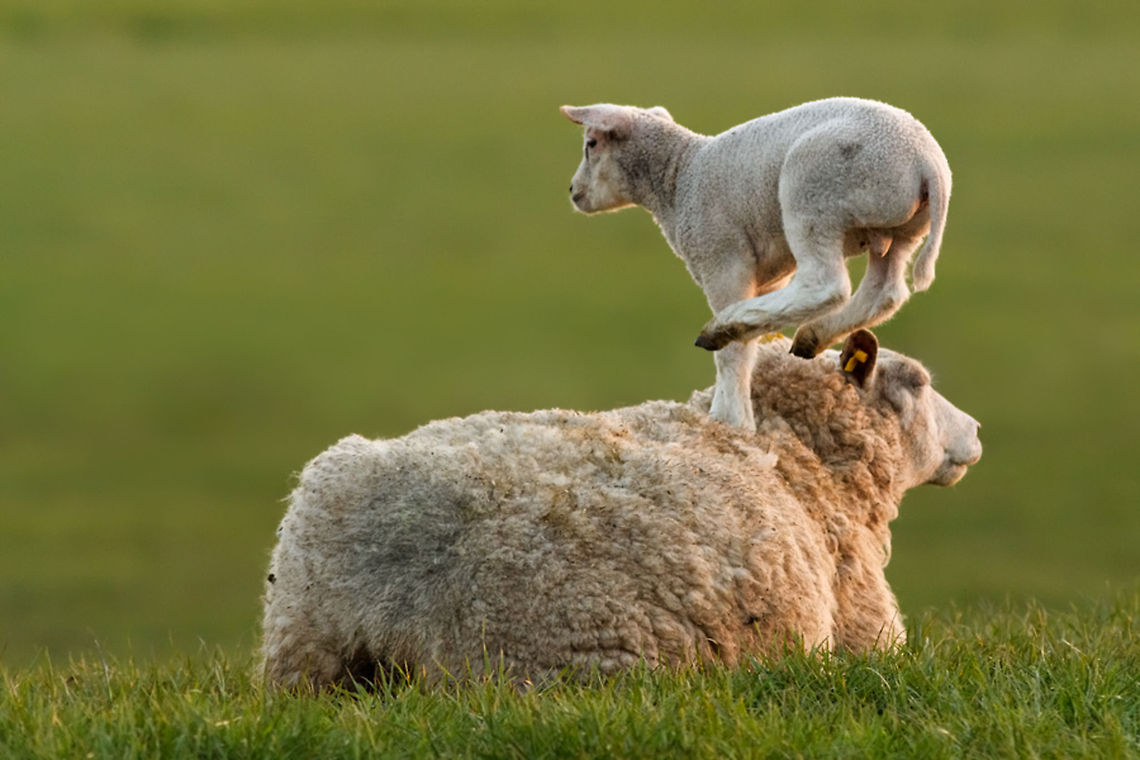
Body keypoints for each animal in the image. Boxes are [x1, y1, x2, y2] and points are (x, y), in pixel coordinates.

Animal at [260, 330, 981, 690]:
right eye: (916, 383)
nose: (976, 432)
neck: (793, 447)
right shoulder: (863, 625)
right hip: (568, 668)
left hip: (304, 661)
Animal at [561, 97, 952, 432]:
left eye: (591, 143)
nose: (573, 191)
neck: (678, 179)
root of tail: (927, 162)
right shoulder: (768, 280)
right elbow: (755, 343)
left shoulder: (722, 257)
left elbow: (733, 355)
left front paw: (731, 419)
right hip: (902, 233)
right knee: (885, 292)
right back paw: (813, 335)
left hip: (813, 194)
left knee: (825, 284)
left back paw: (724, 326)